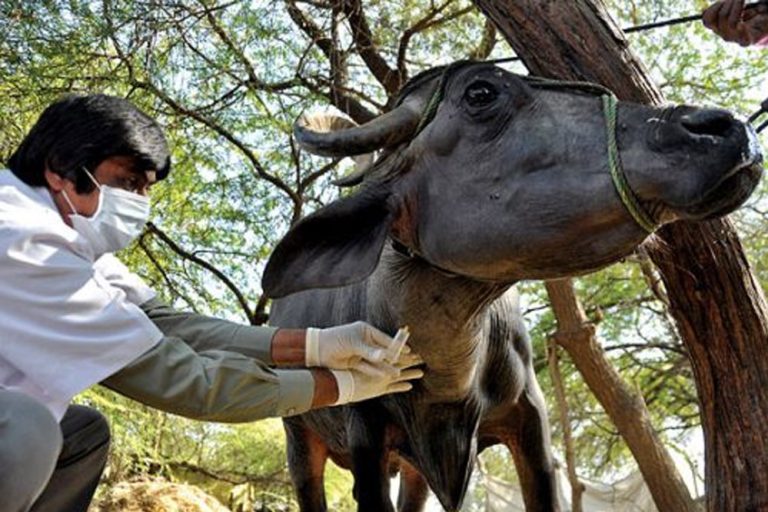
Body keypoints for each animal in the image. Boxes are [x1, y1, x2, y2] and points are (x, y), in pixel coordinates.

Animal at [262, 61, 760, 512]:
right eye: (481, 92)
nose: (722, 128)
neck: (449, 379)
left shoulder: (532, 428)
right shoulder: (366, 439)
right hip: (300, 442)